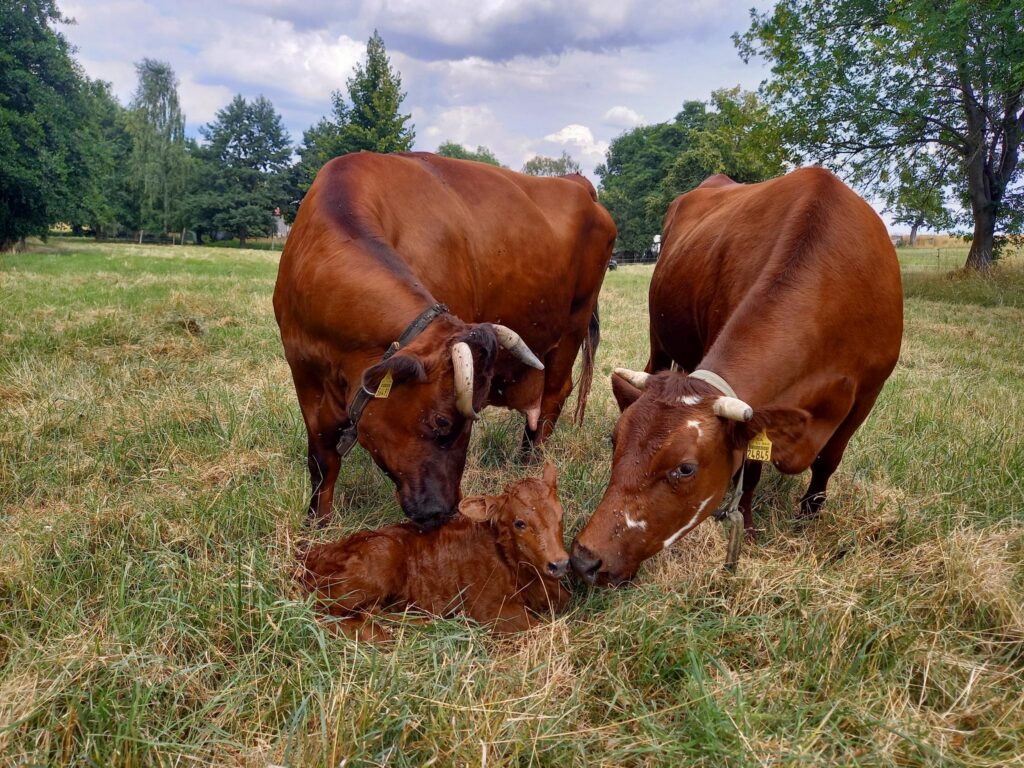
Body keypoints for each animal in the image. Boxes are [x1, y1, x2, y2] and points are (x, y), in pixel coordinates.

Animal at [274, 152, 616, 530]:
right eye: (441, 422)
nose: (445, 511)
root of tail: (576, 182)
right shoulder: (304, 374)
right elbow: (322, 460)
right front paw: (315, 524)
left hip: (574, 322)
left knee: (555, 393)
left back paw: (531, 462)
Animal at [296, 463, 572, 639]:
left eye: (560, 515)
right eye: (519, 523)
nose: (559, 564)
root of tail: (309, 557)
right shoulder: (489, 609)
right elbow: (541, 629)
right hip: (375, 563)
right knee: (321, 613)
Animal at [571, 167, 903, 585]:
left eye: (685, 468)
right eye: (614, 441)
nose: (585, 557)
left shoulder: (868, 392)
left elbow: (829, 459)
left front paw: (809, 517)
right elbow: (753, 466)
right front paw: (747, 524)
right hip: (659, 336)